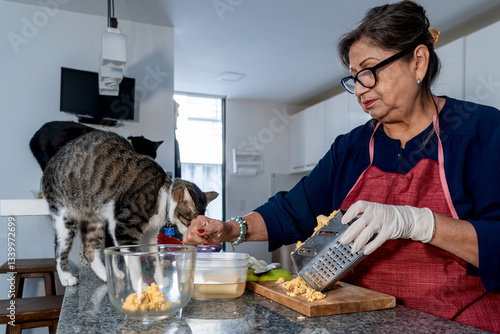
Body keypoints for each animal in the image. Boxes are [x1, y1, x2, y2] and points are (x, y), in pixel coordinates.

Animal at [41, 130, 217, 288]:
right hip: (64, 216)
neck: (162, 196)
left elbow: (154, 259)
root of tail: (51, 162)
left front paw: (160, 282)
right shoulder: (124, 228)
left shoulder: (150, 234)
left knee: (90, 249)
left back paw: (107, 275)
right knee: (59, 249)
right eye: (191, 222)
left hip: (94, 220)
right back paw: (67, 277)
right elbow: (134, 262)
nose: (199, 237)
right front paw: (141, 289)